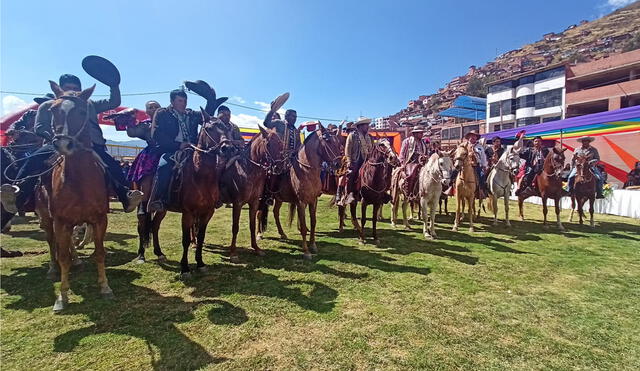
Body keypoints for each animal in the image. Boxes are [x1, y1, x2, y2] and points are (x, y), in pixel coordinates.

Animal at [39, 83, 111, 312]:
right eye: (53, 110)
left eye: (81, 111)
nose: (63, 145)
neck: (79, 181)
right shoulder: (61, 221)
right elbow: (63, 257)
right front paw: (62, 297)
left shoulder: (99, 219)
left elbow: (100, 252)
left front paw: (105, 287)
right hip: (47, 217)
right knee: (52, 241)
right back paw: (53, 269)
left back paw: (77, 261)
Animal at [220, 126, 284, 264]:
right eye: (268, 144)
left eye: (281, 144)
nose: (278, 167)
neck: (247, 170)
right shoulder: (237, 204)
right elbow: (235, 227)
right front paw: (233, 253)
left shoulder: (254, 202)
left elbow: (252, 225)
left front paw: (256, 248)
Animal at [258, 126, 344, 260]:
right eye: (328, 141)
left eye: (338, 142)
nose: (338, 164)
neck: (306, 170)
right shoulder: (301, 203)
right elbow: (303, 226)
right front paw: (306, 251)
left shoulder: (313, 201)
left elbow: (313, 222)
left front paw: (313, 245)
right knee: (259, 213)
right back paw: (259, 234)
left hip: (279, 199)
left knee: (275, 212)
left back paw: (282, 233)